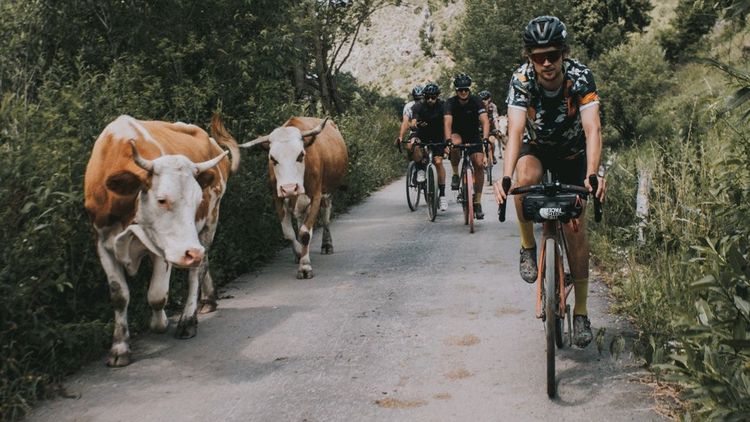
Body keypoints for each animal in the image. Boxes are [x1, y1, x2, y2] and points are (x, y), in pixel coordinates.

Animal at [83, 113, 239, 364]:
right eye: (162, 200)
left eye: (198, 201)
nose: (192, 252)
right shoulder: (101, 242)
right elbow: (119, 295)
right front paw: (119, 348)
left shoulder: (165, 249)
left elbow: (157, 294)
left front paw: (161, 322)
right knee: (203, 263)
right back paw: (208, 300)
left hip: (210, 221)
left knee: (197, 270)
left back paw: (188, 320)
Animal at [241, 117, 350, 278]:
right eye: (273, 158)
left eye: (301, 155)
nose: (289, 188)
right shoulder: (277, 197)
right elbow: (288, 233)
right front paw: (299, 253)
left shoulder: (316, 196)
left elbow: (305, 233)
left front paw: (305, 266)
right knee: (300, 219)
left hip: (327, 193)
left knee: (325, 217)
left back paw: (327, 245)